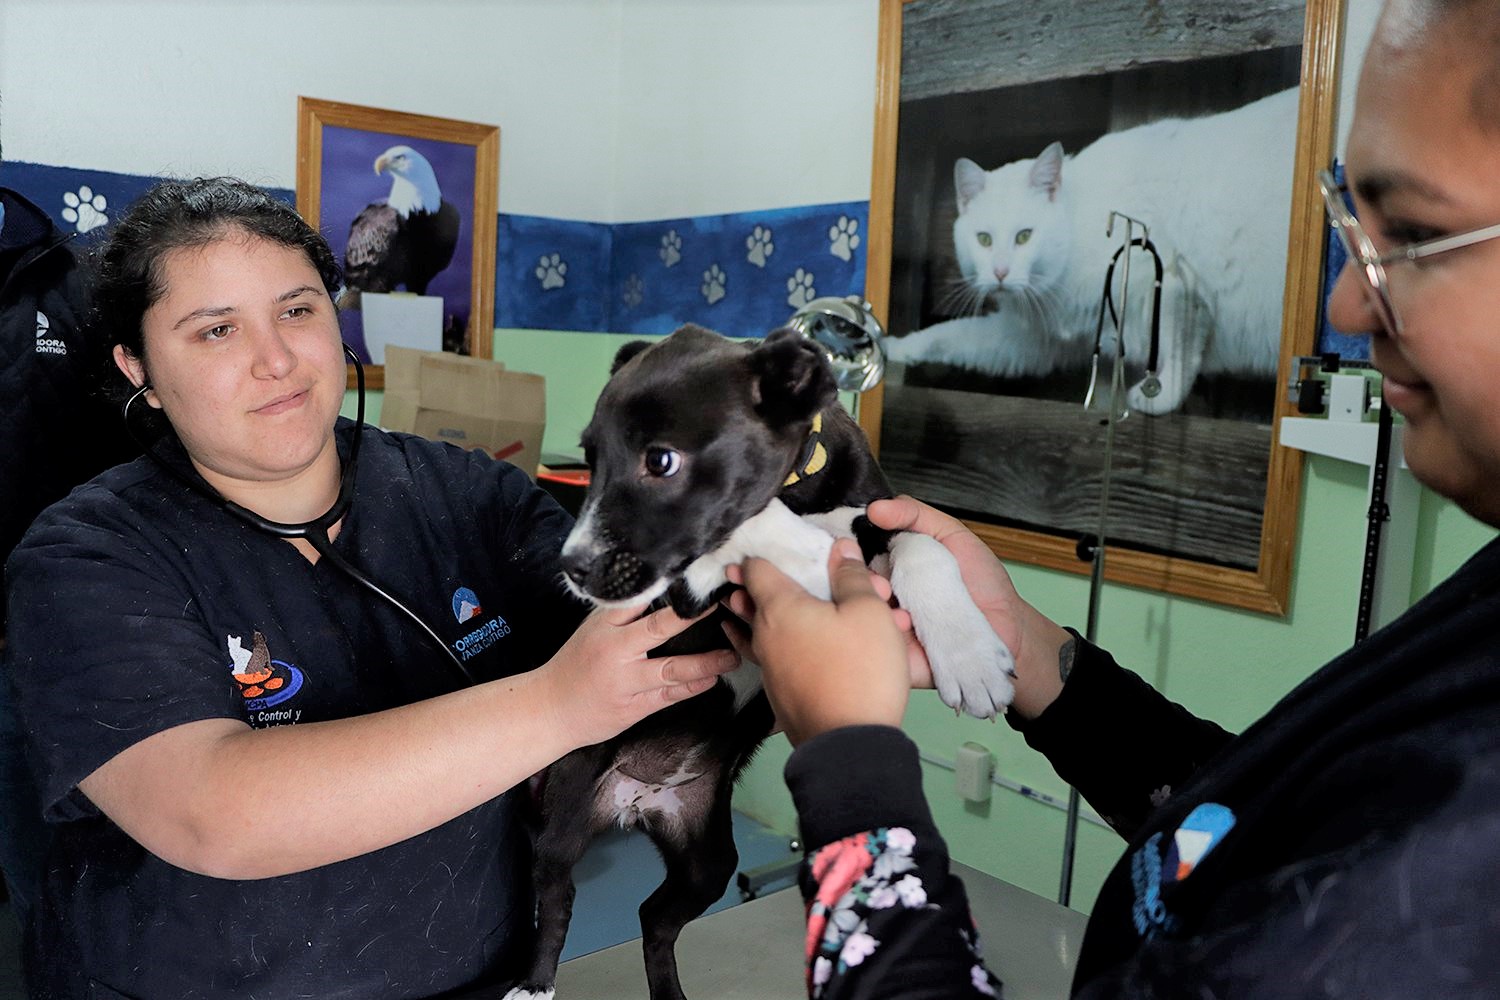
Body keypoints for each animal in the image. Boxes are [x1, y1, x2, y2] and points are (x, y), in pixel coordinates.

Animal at [507, 325, 1020, 1000]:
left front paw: (969, 654)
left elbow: (926, 542)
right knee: (557, 891)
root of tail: (635, 800)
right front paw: (806, 555)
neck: (797, 492)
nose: (575, 569)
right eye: (590, 459)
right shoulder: (686, 582)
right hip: (567, 805)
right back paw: (534, 983)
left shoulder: (880, 516)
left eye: (661, 461)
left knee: (655, 918)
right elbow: (746, 529)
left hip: (708, 857)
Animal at [888, 86, 1302, 413]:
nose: (1001, 272)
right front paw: (896, 346)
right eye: (984, 239)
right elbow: (952, 335)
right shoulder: (1029, 339)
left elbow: (1178, 350)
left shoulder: (1174, 283)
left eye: (1024, 236)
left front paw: (1158, 397)